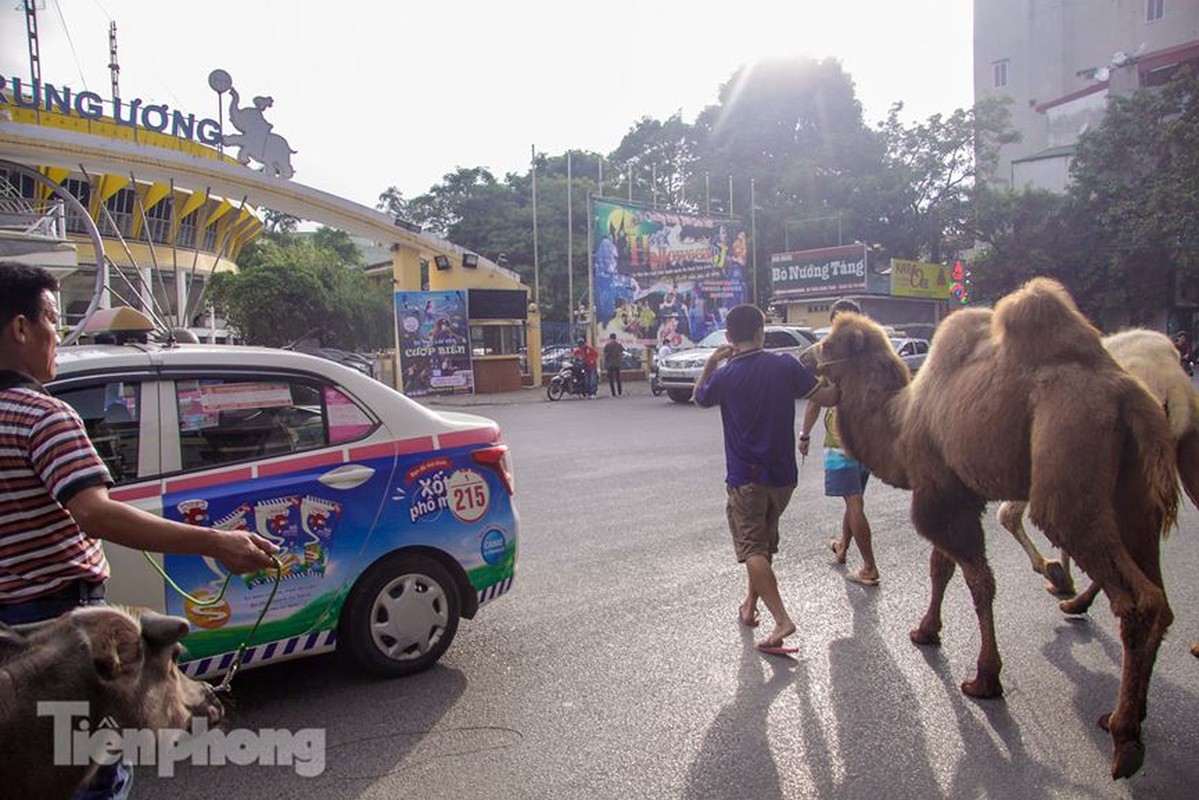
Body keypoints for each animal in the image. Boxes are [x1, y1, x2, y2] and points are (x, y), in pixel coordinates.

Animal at [815, 278, 1179, 777]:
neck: (901, 424)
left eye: (830, 344)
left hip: (1068, 466)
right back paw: (1126, 713)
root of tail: (1130, 398)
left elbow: (978, 580)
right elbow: (941, 568)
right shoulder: (955, 491)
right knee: (1158, 593)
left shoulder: (937, 495)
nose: (803, 355)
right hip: (1135, 499)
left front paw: (984, 678)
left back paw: (1125, 740)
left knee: (1137, 597)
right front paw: (926, 631)